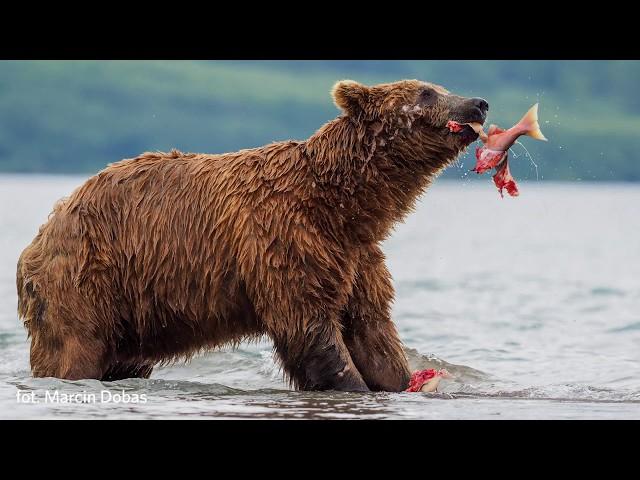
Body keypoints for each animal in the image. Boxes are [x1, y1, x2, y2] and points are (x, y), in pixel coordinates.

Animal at [16, 79, 484, 390]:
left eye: (439, 87)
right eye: (426, 93)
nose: (477, 104)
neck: (343, 206)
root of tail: (42, 233)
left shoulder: (356, 257)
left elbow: (373, 332)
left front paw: (402, 381)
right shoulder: (284, 241)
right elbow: (311, 329)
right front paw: (351, 383)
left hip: (133, 308)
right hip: (87, 281)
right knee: (74, 351)